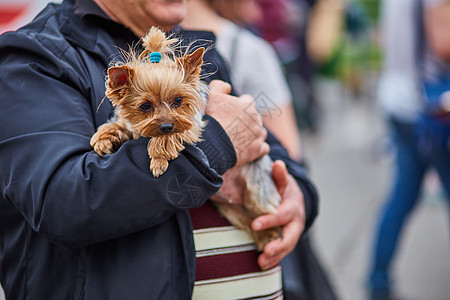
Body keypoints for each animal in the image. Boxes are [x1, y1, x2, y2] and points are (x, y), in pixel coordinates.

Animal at [91, 27, 282, 251]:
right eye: (145, 106)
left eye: (178, 100)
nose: (166, 126)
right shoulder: (132, 125)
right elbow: (118, 125)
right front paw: (103, 139)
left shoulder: (192, 124)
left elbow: (168, 138)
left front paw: (158, 159)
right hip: (230, 209)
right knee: (248, 220)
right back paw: (266, 236)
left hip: (257, 191)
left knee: (265, 212)